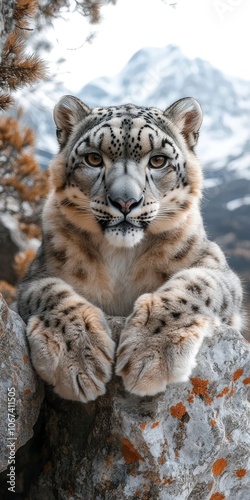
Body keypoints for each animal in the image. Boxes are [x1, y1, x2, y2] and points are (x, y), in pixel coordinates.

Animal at [17, 94, 242, 402]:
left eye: (158, 160)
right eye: (93, 158)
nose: (125, 201)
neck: (121, 256)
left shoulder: (215, 266)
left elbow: (196, 284)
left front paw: (149, 354)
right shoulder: (35, 276)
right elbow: (50, 291)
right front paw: (77, 360)